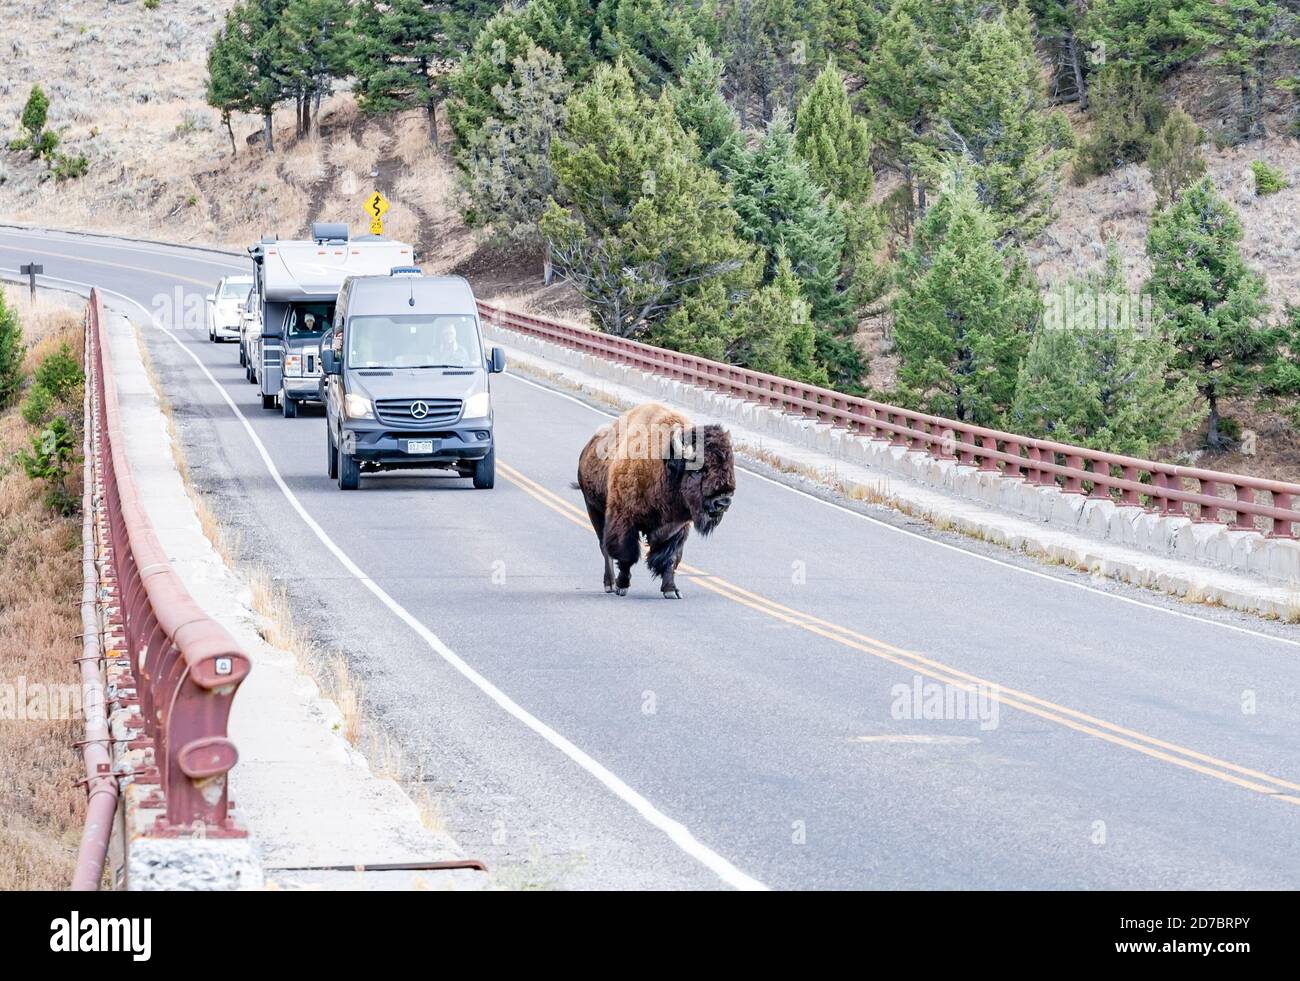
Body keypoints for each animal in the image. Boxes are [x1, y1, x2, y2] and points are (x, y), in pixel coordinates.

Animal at [577, 400, 738, 597]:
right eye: (699, 469)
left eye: (729, 466)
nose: (722, 501)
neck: (665, 466)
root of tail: (588, 448)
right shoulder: (623, 519)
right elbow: (626, 555)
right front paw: (622, 586)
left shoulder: (678, 527)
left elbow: (671, 557)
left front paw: (671, 590)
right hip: (593, 508)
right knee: (604, 546)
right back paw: (610, 584)